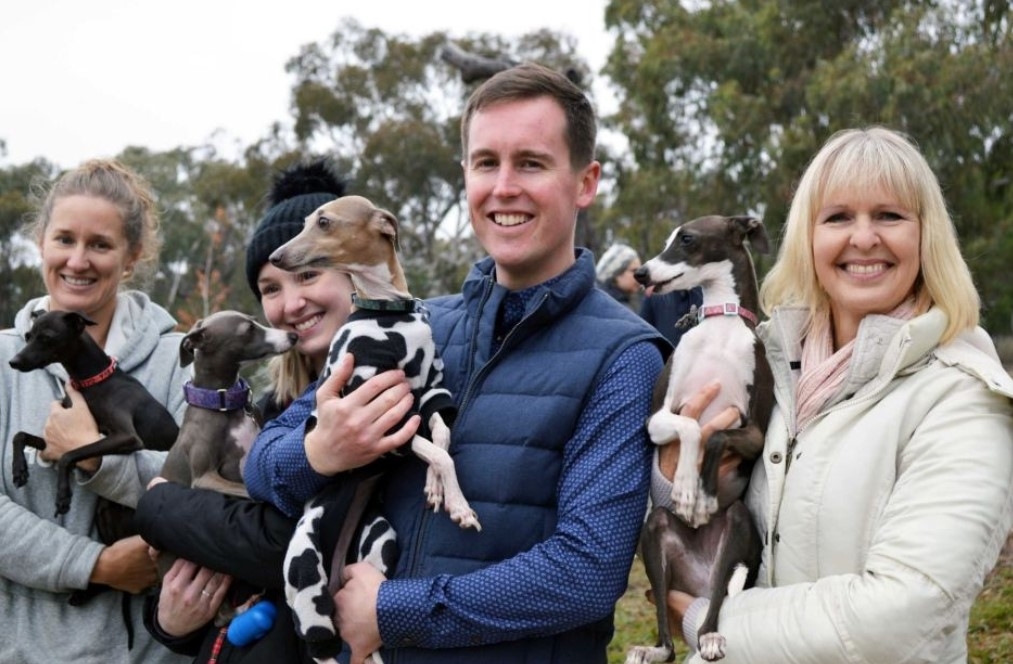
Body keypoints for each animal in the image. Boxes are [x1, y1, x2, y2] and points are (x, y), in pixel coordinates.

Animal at [269, 194, 479, 661]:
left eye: (323, 222)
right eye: (307, 222)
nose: (276, 256)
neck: (388, 310)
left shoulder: (429, 387)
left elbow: (440, 438)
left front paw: (436, 488)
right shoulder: (380, 410)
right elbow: (436, 451)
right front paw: (459, 505)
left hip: (380, 540)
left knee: (363, 640)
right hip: (303, 571)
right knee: (323, 644)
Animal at [625, 215, 773, 663]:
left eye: (687, 239)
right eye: (668, 239)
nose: (641, 274)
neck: (720, 326)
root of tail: (698, 580)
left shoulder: (754, 431)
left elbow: (716, 437)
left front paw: (701, 496)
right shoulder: (657, 418)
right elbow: (691, 428)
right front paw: (688, 490)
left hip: (736, 527)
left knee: (716, 604)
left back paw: (709, 637)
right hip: (655, 532)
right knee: (670, 639)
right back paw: (654, 650)